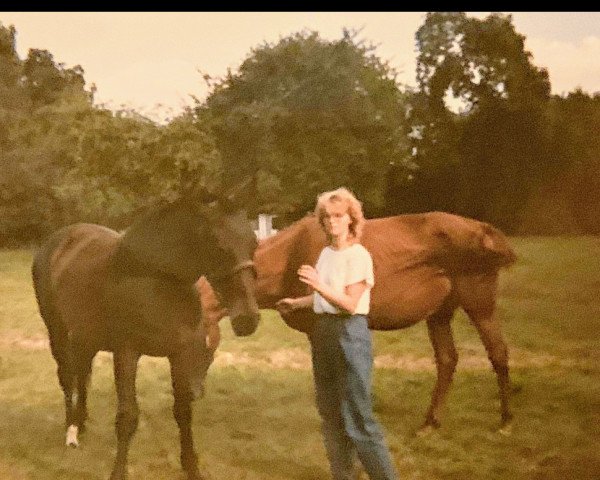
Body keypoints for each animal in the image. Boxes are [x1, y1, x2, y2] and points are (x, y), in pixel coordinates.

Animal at [31, 191, 260, 480]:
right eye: (218, 244)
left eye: (254, 243)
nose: (248, 320)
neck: (155, 277)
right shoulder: (127, 352)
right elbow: (127, 416)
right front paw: (118, 472)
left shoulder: (180, 354)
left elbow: (183, 411)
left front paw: (191, 467)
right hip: (57, 331)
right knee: (67, 377)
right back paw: (71, 430)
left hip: (86, 337)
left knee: (83, 376)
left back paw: (80, 424)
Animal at [198, 212, 516, 434]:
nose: (195, 392)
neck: (291, 256)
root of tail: (486, 231)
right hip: (439, 314)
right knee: (448, 360)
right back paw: (430, 422)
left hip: (479, 305)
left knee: (498, 353)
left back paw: (505, 420)